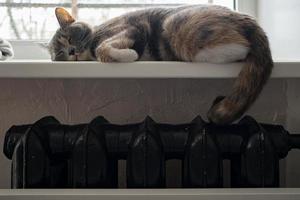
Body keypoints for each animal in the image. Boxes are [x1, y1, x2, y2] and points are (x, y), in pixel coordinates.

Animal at [48, 5, 274, 125]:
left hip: (176, 26)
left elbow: (104, 49)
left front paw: (129, 54)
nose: (71, 52)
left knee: (240, 48)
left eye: (69, 38)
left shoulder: (129, 28)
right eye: (59, 53)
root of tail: (250, 21)